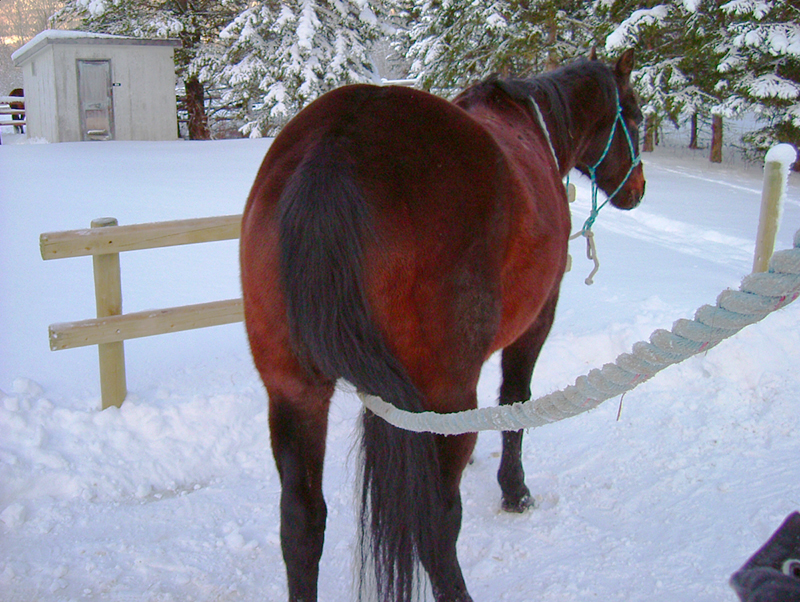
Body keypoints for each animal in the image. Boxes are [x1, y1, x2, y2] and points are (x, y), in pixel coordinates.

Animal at [240, 49, 645, 602]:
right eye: (638, 117)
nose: (638, 189)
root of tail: (337, 147)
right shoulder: (537, 319)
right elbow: (515, 401)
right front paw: (514, 489)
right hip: (442, 395)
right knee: (436, 523)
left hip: (294, 393)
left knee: (301, 525)